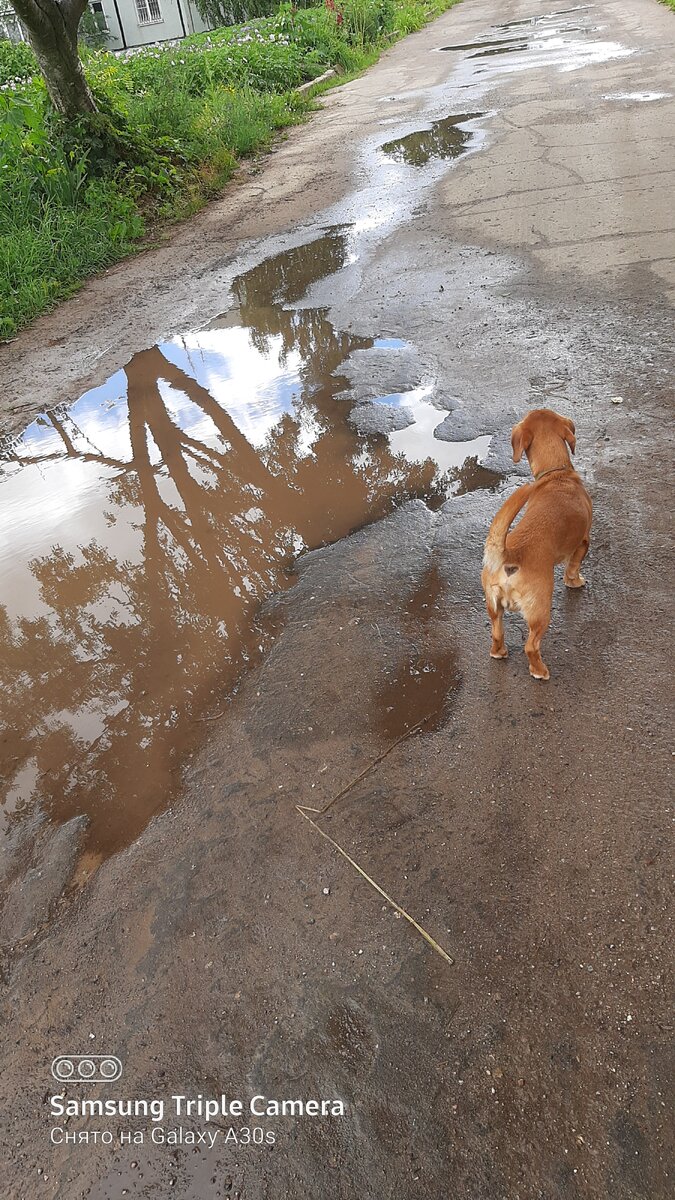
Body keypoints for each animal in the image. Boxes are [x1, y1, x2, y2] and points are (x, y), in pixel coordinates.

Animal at [478, 410, 588, 676]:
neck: (556, 475)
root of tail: (509, 554)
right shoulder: (582, 543)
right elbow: (573, 568)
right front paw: (575, 582)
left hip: (493, 609)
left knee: (497, 633)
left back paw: (499, 652)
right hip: (540, 612)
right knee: (531, 646)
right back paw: (539, 671)